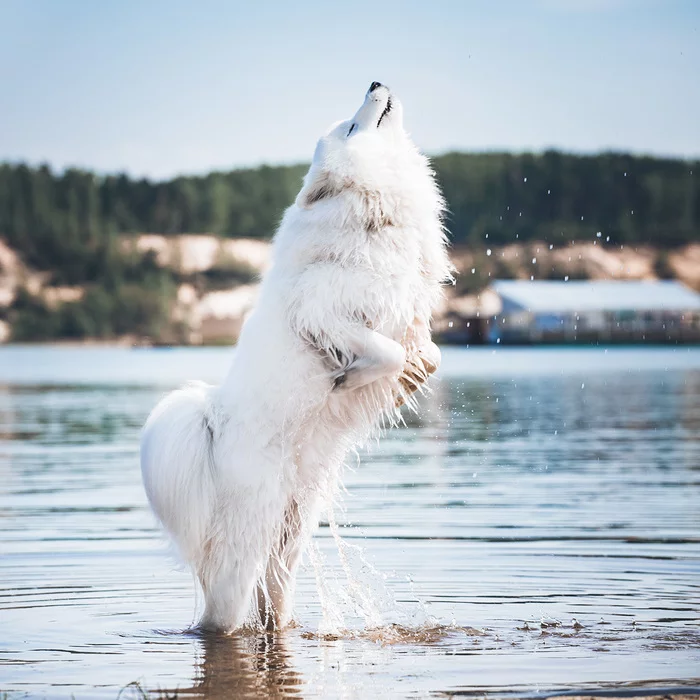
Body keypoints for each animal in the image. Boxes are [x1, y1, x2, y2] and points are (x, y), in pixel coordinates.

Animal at [139, 82, 452, 636]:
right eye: (352, 126)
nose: (375, 82)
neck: (371, 210)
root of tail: (211, 426)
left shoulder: (408, 316)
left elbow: (426, 353)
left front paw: (406, 384)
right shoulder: (323, 313)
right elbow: (387, 353)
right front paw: (350, 379)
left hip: (290, 537)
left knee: (272, 606)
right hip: (246, 548)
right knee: (221, 616)